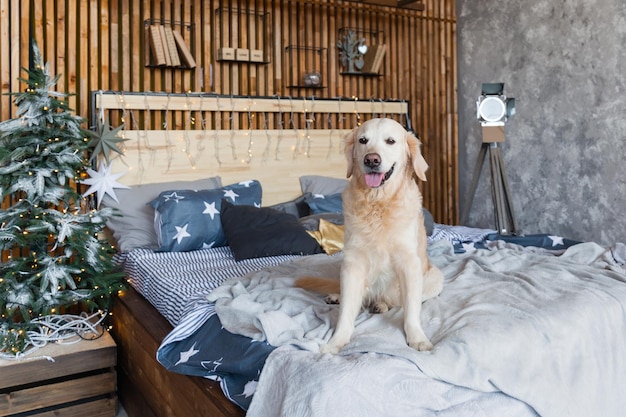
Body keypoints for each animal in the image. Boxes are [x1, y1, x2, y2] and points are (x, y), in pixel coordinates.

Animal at [294, 117, 442, 352]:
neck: (377, 202)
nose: (372, 159)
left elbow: (411, 311)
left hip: (434, 278)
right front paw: (337, 341)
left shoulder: (409, 263)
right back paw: (338, 296)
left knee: (395, 300)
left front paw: (417, 338)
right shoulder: (353, 263)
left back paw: (380, 304)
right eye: (363, 140)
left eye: (390, 141)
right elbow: (346, 311)